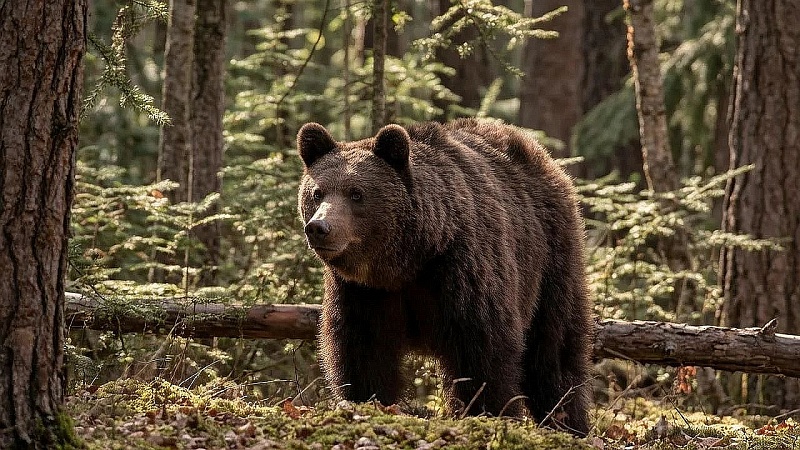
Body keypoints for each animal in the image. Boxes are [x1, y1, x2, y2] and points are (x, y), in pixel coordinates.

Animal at [296, 119, 593, 435]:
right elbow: (363, 349)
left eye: (356, 193)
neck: (407, 263)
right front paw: (367, 402)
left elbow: (482, 346)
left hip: (550, 257)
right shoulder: (362, 291)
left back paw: (568, 420)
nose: (319, 227)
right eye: (317, 192)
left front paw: (484, 411)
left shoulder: (463, 270)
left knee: (553, 348)